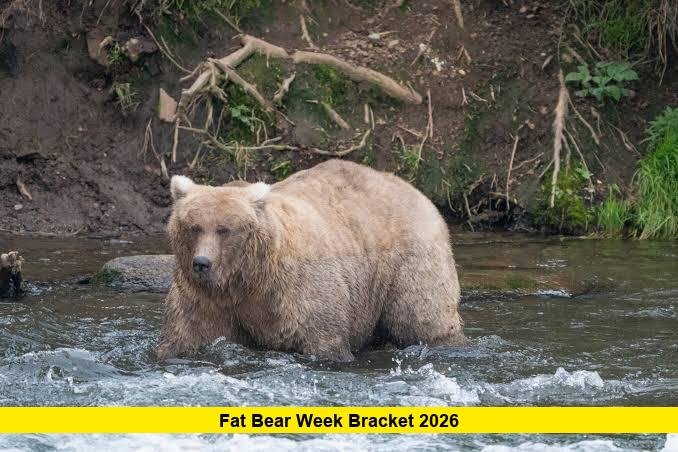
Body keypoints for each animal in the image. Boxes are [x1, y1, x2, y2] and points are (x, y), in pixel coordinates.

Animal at [156, 159, 464, 361]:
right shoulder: (205, 299)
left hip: (408, 260)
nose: (202, 263)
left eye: (224, 229)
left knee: (422, 316)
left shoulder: (297, 291)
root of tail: (415, 190)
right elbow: (186, 335)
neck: (247, 279)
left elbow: (322, 338)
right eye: (194, 227)